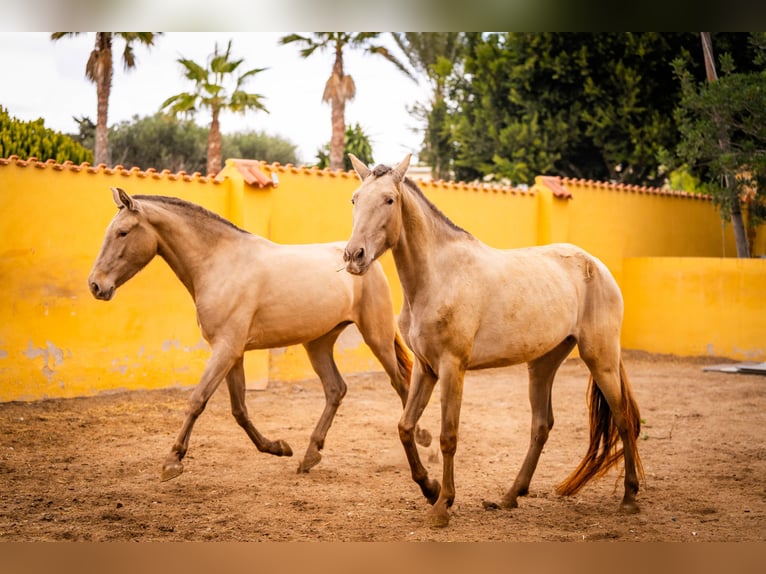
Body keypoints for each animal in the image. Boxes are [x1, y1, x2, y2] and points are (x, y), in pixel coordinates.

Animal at [88, 188, 432, 482]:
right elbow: (239, 410)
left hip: (376, 336)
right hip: (318, 343)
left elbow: (197, 400)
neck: (220, 263)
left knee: (400, 383)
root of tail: (363, 258)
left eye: (122, 232)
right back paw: (309, 455)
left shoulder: (225, 349)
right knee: (336, 389)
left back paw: (422, 440)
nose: (96, 285)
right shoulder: (233, 352)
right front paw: (278, 447)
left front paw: (172, 461)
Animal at [342, 154, 640, 532]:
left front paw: (442, 506)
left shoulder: (452, 367)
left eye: (389, 200)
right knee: (541, 426)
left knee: (622, 418)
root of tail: (597, 267)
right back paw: (510, 496)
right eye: (355, 199)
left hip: (600, 358)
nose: (354, 255)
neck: (438, 277)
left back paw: (629, 497)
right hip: (542, 364)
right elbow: (406, 428)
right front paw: (430, 488)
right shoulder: (426, 368)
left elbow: (448, 436)